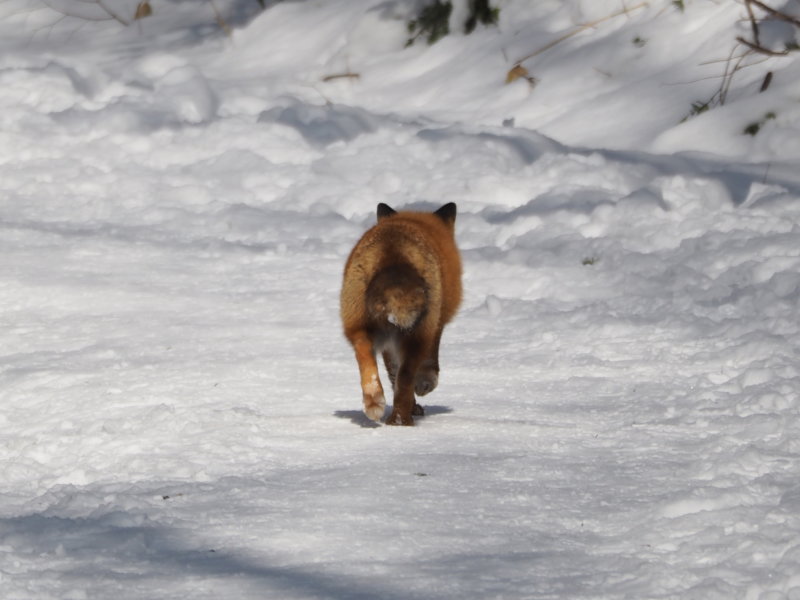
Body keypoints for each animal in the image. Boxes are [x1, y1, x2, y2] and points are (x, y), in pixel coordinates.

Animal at [340, 203, 462, 426]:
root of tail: (393, 254)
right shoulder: (435, 325)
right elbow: (425, 365)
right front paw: (423, 388)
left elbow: (391, 371)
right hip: (416, 334)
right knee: (405, 376)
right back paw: (401, 420)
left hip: (357, 325)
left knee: (366, 357)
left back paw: (374, 403)